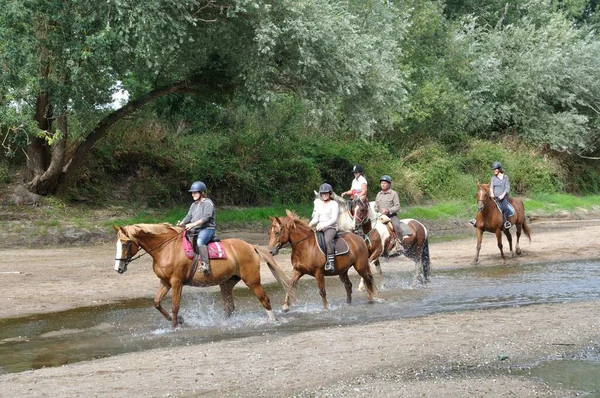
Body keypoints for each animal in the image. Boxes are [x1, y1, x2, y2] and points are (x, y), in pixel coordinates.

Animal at [113, 222, 296, 328]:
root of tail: (250, 246)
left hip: (252, 280)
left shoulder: (176, 282)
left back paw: (273, 321)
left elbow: (175, 306)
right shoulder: (165, 282)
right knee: (229, 306)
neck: (166, 248)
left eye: (125, 243)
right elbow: (157, 302)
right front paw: (180, 320)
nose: (118, 268)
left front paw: (175, 327)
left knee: (264, 299)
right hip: (226, 282)